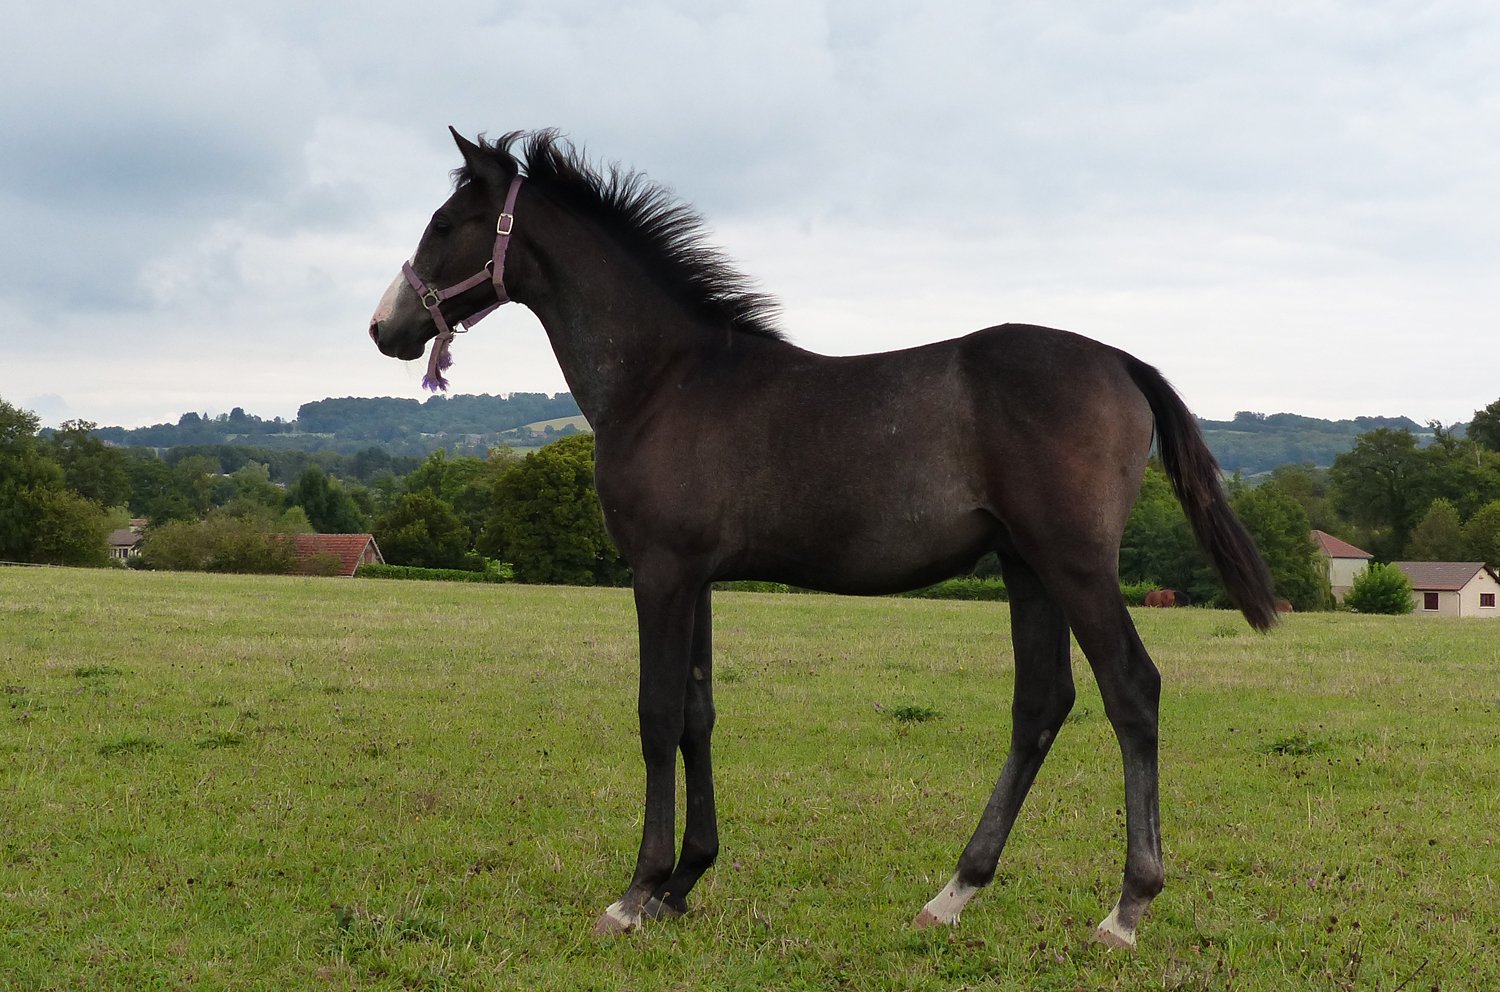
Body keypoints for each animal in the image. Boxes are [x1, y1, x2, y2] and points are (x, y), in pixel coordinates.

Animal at [367, 128, 1278, 949]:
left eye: (446, 223)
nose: (385, 328)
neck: (665, 379)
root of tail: (1123, 361)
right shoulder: (699, 577)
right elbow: (698, 713)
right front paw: (684, 883)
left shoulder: (660, 571)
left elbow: (656, 715)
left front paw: (634, 894)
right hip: (1026, 567)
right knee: (1042, 703)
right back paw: (954, 893)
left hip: (1074, 563)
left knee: (1131, 689)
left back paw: (1125, 910)